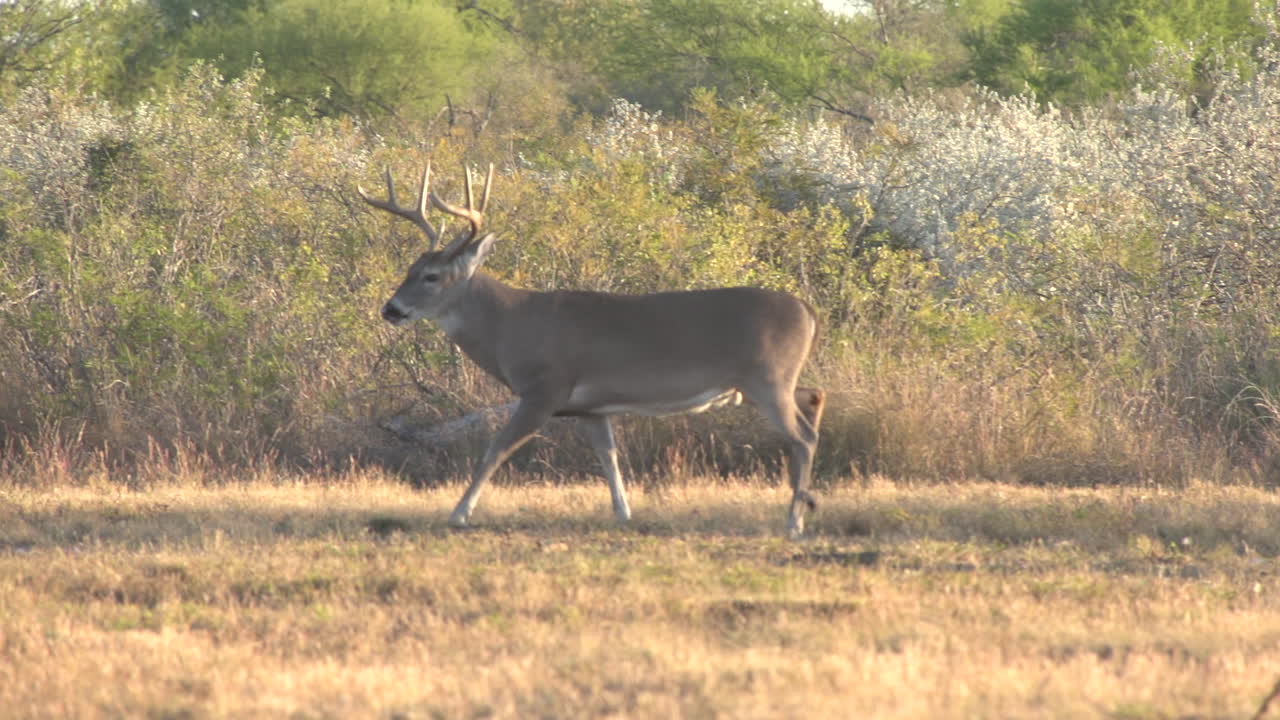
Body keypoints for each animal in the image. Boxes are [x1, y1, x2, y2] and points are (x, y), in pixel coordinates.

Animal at [360, 162, 825, 537]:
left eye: (432, 276)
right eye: (409, 269)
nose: (391, 309)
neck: (510, 325)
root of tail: (807, 309)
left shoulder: (545, 389)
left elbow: (496, 449)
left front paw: (459, 513)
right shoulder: (590, 407)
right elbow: (609, 456)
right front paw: (624, 514)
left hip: (766, 378)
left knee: (803, 435)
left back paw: (794, 522)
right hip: (766, 382)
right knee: (814, 398)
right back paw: (806, 501)